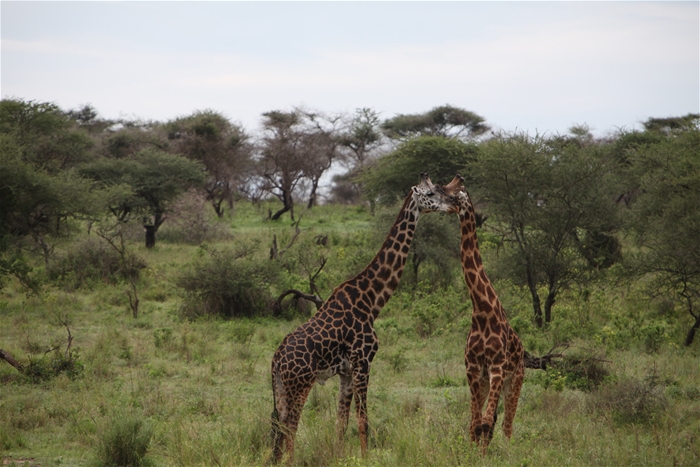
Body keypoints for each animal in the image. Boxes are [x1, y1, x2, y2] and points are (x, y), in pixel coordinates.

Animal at [270, 174, 462, 462]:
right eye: (430, 193)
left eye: (441, 189)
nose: (452, 205)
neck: (372, 302)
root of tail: (276, 361)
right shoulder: (363, 363)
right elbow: (363, 421)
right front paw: (365, 458)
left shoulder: (346, 372)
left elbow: (342, 422)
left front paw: (339, 457)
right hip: (300, 384)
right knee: (290, 425)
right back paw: (290, 462)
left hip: (280, 388)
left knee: (277, 425)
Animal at [446, 177, 524, 456]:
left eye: (450, 192)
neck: (481, 310)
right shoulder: (473, 369)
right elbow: (475, 422)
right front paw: (472, 454)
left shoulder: (498, 368)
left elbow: (487, 422)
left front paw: (482, 457)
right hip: (486, 383)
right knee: (488, 422)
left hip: (514, 381)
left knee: (507, 425)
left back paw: (509, 452)